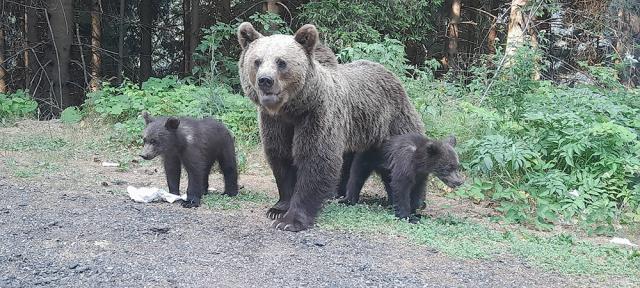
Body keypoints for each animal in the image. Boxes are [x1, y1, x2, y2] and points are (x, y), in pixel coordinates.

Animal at [238, 22, 422, 232]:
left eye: (281, 62)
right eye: (257, 61)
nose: (265, 80)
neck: (292, 110)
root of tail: (393, 77)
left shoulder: (317, 115)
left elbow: (316, 160)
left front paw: (291, 220)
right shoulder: (275, 123)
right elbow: (280, 159)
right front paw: (278, 208)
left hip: (394, 123)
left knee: (406, 164)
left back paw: (413, 205)